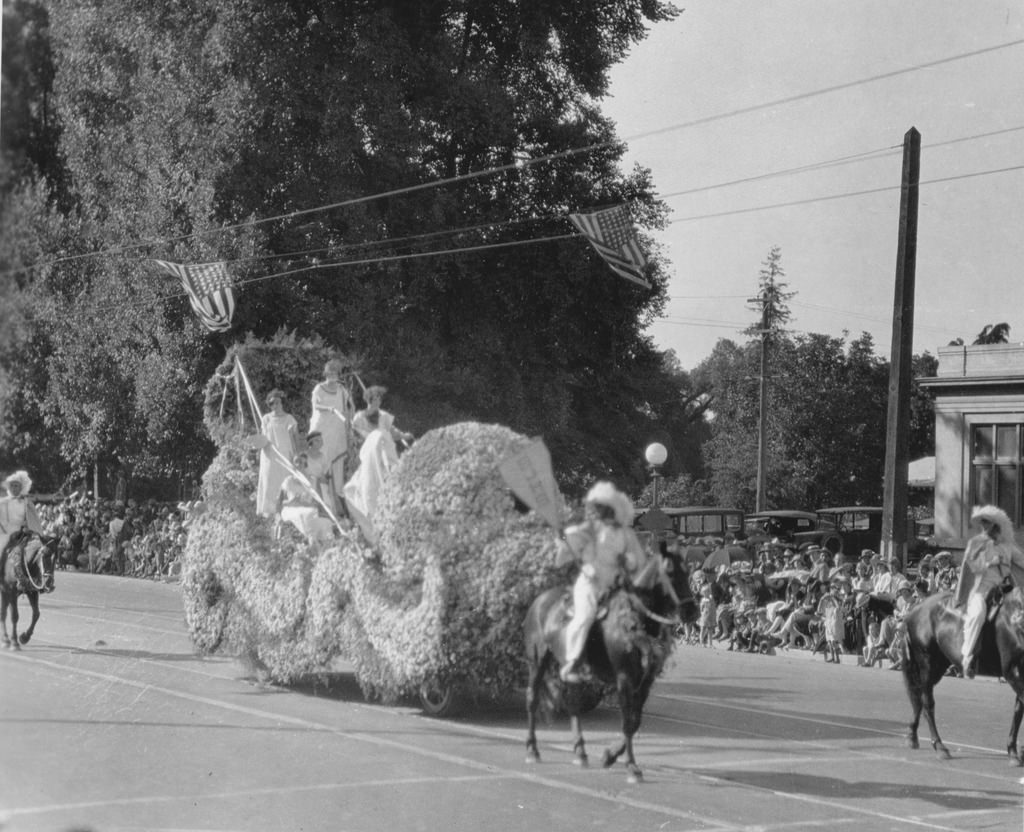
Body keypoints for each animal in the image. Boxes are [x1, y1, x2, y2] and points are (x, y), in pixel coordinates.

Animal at [524, 549, 700, 782]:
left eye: (687, 572)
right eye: (670, 574)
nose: (692, 610)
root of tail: (540, 600)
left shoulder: (645, 683)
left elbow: (634, 722)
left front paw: (610, 756)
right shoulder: (624, 678)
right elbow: (627, 722)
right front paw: (632, 767)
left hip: (569, 670)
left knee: (572, 703)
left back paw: (580, 752)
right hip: (537, 661)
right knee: (533, 698)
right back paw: (532, 749)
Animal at [905, 586, 1024, 762]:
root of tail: (916, 608)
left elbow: (1018, 711)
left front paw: (1014, 750)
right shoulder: (1013, 671)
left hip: (938, 666)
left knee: (919, 698)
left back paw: (912, 735)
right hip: (926, 663)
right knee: (927, 703)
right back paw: (939, 746)